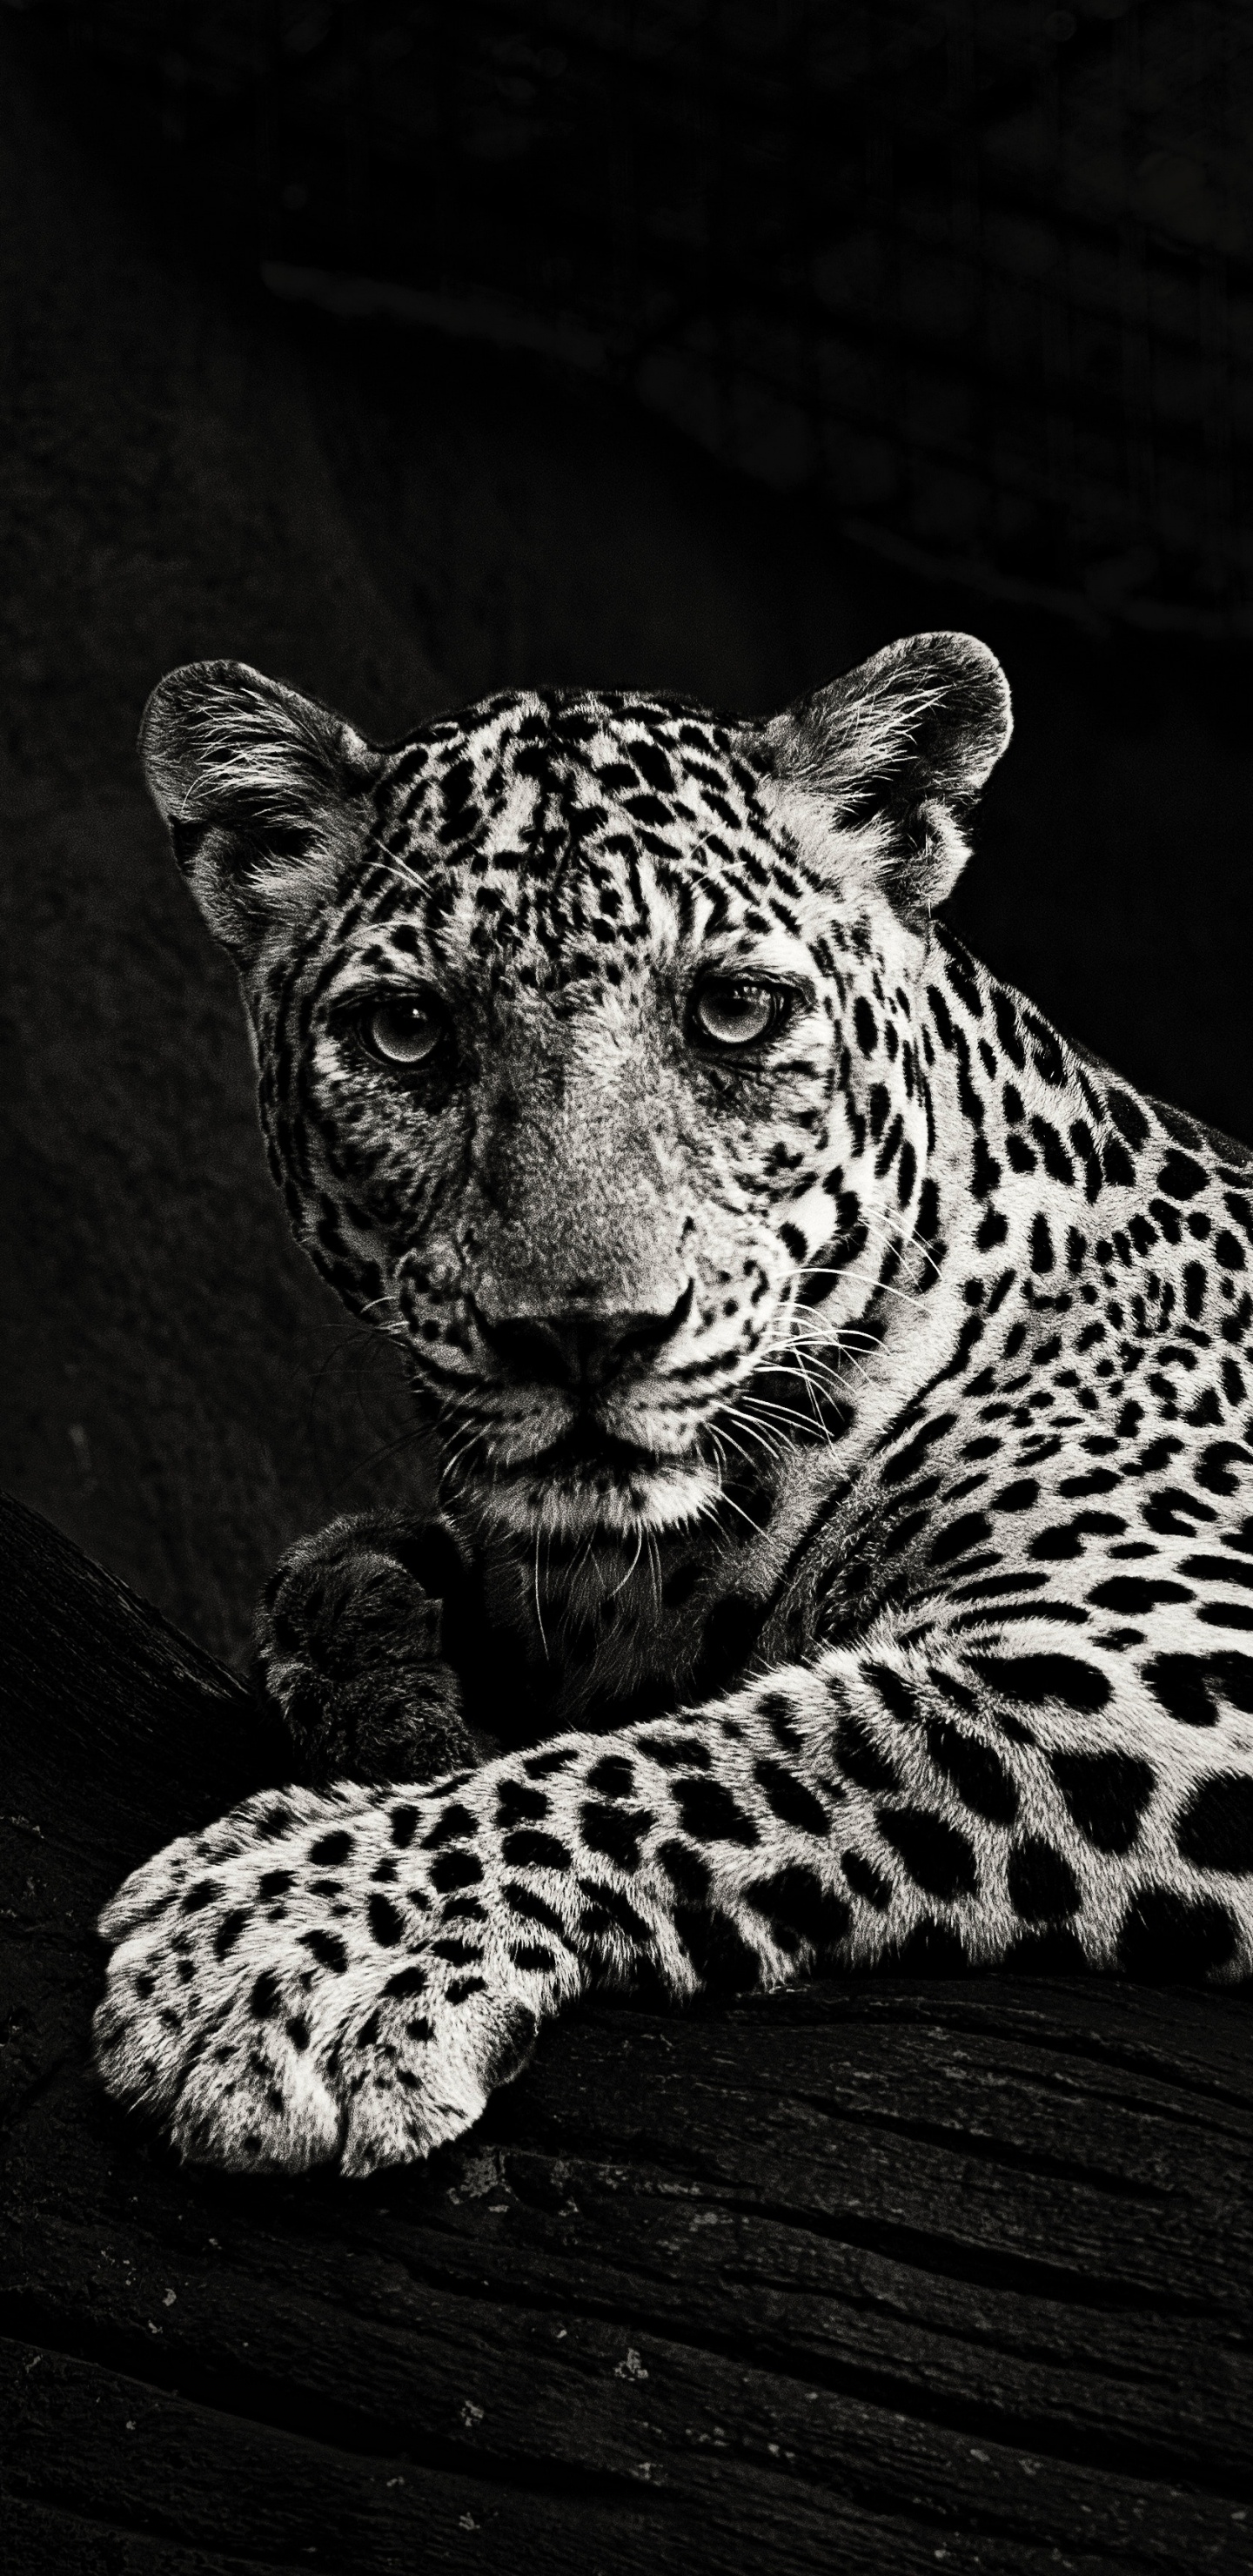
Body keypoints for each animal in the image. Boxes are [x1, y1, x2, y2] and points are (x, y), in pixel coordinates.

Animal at [94, 630, 1253, 2179]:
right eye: (407, 1033)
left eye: (734, 1012)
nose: (584, 1337)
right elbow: (338, 1588)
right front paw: (384, 1664)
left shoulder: (1177, 1641)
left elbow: (755, 1753)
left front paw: (278, 1947)